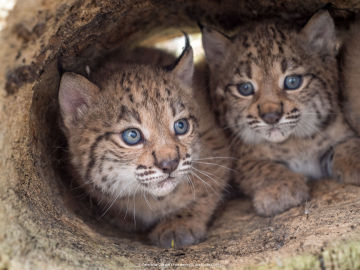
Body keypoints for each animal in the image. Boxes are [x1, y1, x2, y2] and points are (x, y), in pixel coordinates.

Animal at [57, 39, 229, 247]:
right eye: (132, 136)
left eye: (181, 126)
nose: (170, 164)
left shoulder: (218, 147)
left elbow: (206, 190)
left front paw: (178, 224)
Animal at [201, 11, 360, 217]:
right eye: (245, 88)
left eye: (292, 82)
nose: (271, 117)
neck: (294, 142)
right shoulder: (237, 156)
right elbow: (258, 166)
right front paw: (279, 189)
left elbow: (348, 146)